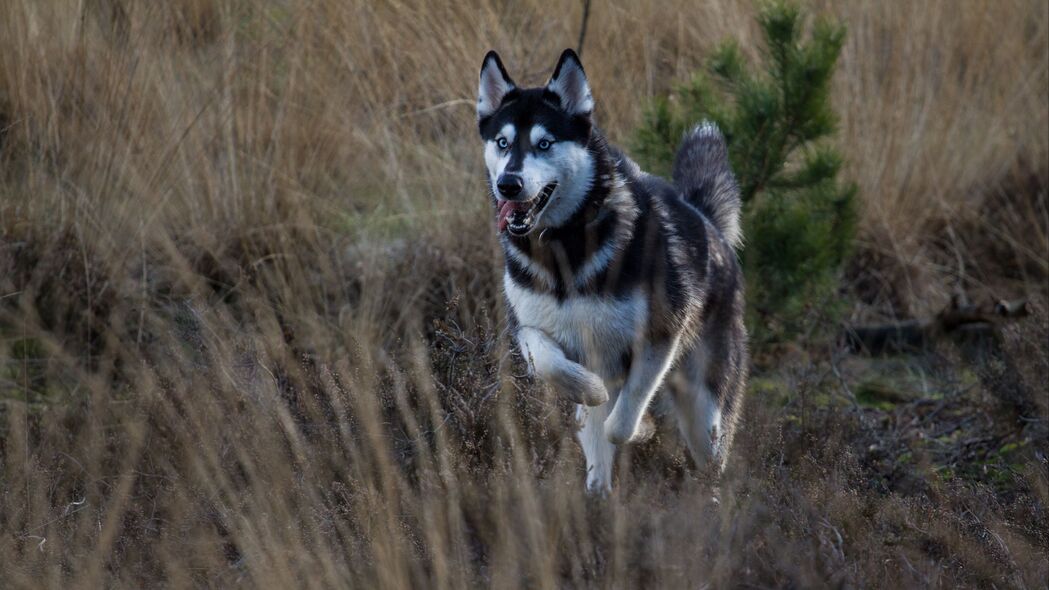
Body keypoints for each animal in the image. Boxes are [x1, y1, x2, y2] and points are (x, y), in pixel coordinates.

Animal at [476, 49, 746, 491]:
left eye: (545, 143)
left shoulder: (659, 336)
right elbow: (551, 364)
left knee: (707, 455)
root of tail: (707, 222)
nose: (508, 184)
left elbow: (621, 421)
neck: (564, 248)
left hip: (705, 408)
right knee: (596, 450)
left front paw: (641, 428)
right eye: (502, 142)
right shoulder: (528, 328)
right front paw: (588, 389)